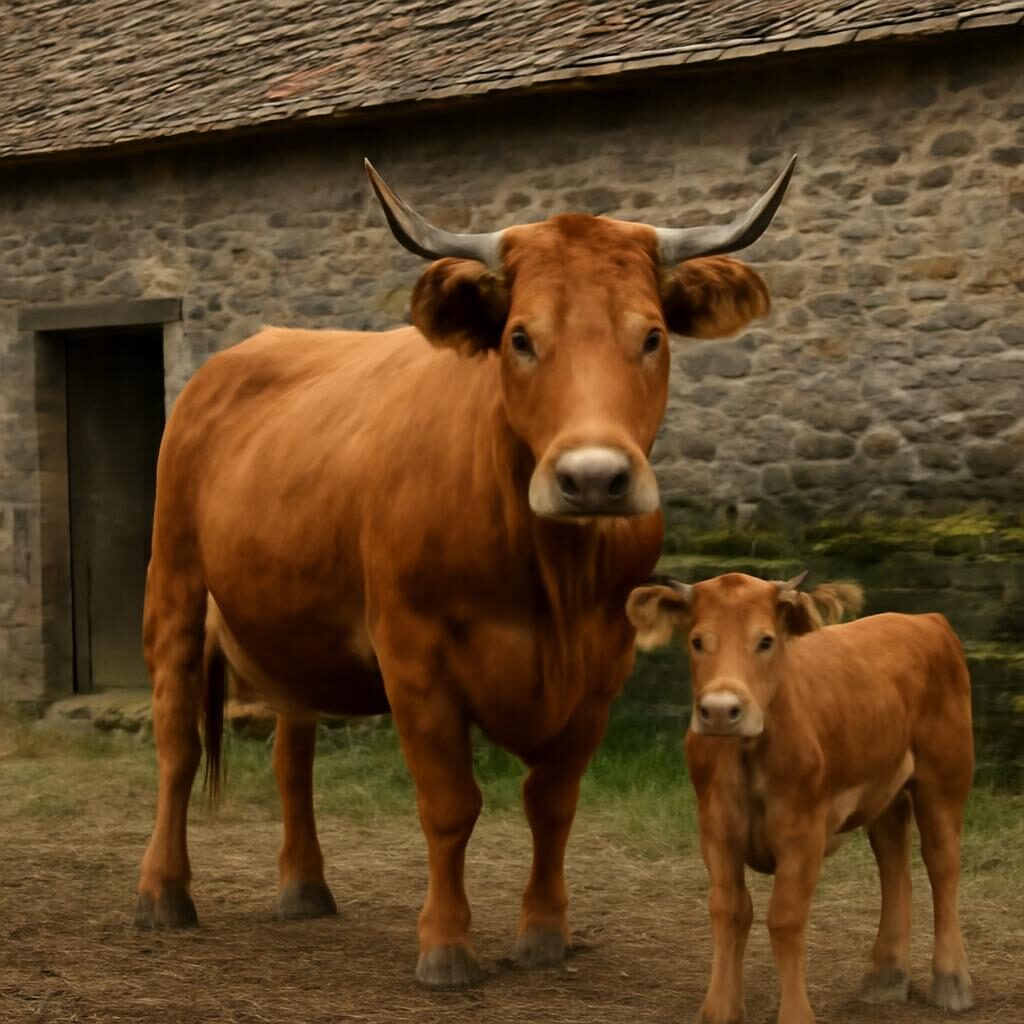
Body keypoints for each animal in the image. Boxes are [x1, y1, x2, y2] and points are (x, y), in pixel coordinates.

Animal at [134, 157, 796, 987]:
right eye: (520, 337)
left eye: (650, 336)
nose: (593, 478)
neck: (553, 574)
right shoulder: (413, 654)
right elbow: (451, 804)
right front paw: (446, 946)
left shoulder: (603, 668)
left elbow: (553, 802)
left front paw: (543, 933)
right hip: (174, 584)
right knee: (175, 744)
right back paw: (163, 893)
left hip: (294, 627)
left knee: (293, 754)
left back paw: (304, 886)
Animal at [626, 571, 974, 1023]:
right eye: (697, 640)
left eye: (766, 640)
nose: (720, 711)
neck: (748, 754)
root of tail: (925, 619)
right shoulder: (716, 828)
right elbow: (729, 908)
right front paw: (720, 1009)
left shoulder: (802, 832)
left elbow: (785, 918)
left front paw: (794, 1013)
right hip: (886, 790)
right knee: (894, 866)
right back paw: (885, 976)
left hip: (945, 775)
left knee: (942, 865)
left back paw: (951, 981)